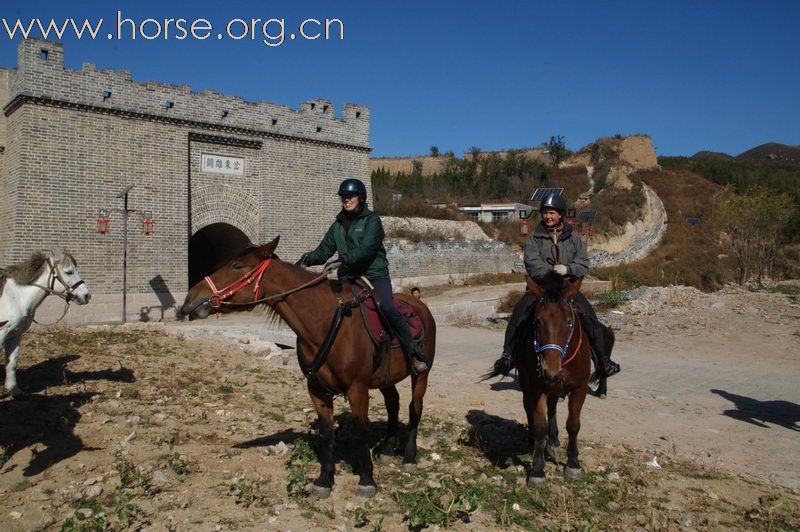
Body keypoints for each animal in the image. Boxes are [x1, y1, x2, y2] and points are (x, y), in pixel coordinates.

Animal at [0, 248, 91, 400]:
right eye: (69, 272)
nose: (86, 296)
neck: (16, 297)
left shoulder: (14, 335)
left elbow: (11, 363)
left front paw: (15, 391)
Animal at [181, 237, 438, 498]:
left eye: (236, 266)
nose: (189, 299)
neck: (324, 321)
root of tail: (420, 305)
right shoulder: (316, 390)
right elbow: (326, 434)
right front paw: (325, 480)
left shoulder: (357, 389)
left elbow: (360, 431)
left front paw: (366, 479)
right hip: (386, 379)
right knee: (393, 403)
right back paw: (387, 448)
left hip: (421, 375)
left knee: (414, 409)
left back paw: (409, 457)